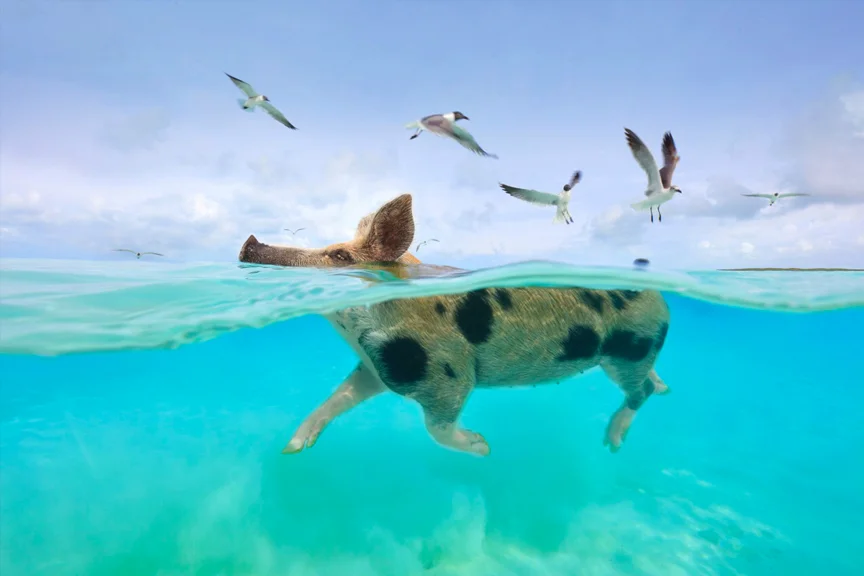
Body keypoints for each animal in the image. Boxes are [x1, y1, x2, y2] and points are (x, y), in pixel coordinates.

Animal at [238, 194, 671, 456]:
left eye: (340, 255)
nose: (250, 242)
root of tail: (657, 297)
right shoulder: (378, 368)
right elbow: (336, 397)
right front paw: (292, 447)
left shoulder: (444, 372)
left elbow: (438, 427)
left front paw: (483, 447)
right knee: (652, 384)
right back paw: (664, 392)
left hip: (631, 347)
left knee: (640, 393)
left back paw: (612, 443)